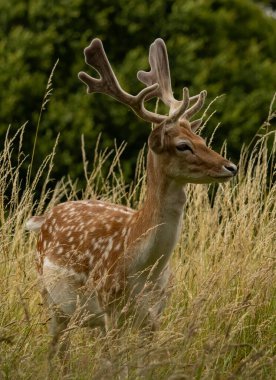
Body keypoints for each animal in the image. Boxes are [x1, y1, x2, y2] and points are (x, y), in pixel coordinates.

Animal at [25, 38, 237, 362]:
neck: (145, 267)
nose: (230, 166)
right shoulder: (110, 308)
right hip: (49, 295)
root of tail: (44, 218)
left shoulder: (154, 314)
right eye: (183, 145)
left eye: (202, 140)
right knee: (56, 350)